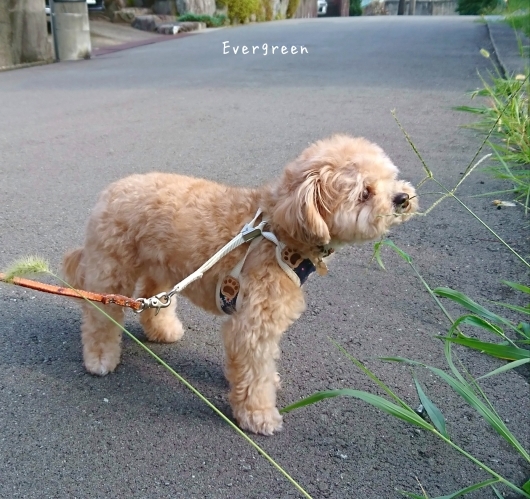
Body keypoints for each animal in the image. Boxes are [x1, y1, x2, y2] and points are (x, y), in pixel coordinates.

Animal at [63, 135, 416, 436]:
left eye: (389, 178)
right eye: (364, 193)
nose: (402, 198)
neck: (280, 232)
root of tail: (109, 192)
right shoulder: (253, 322)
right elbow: (254, 373)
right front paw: (259, 415)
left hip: (161, 266)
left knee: (152, 299)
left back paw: (163, 330)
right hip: (112, 268)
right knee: (100, 316)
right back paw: (100, 358)